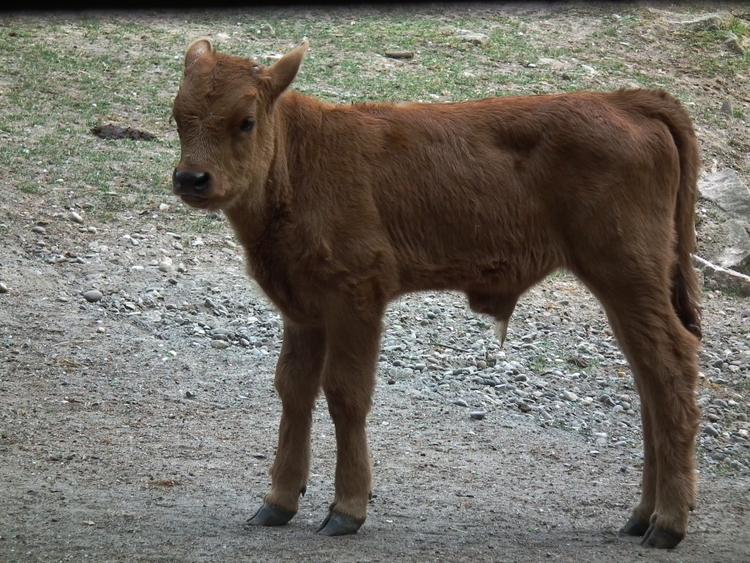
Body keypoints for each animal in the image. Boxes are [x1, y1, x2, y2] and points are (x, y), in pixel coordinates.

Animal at [172, 37, 704, 548]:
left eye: (246, 121)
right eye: (177, 116)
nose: (191, 179)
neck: (302, 156)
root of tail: (625, 100)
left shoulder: (356, 299)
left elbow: (345, 393)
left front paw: (346, 510)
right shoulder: (302, 310)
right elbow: (293, 390)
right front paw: (277, 503)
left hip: (627, 277)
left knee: (670, 369)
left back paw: (668, 524)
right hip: (626, 290)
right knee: (648, 382)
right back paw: (641, 517)